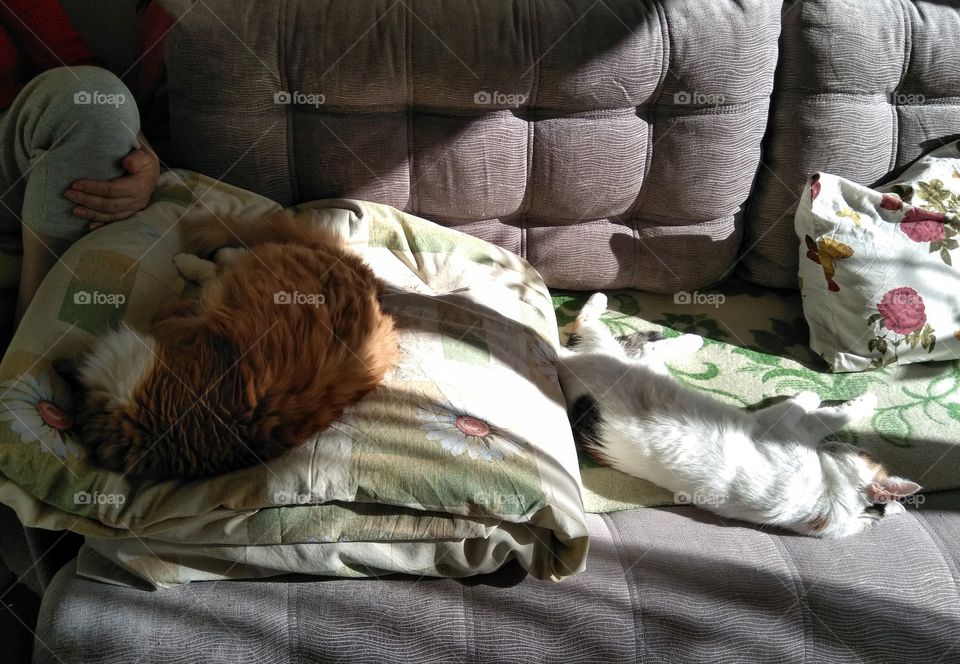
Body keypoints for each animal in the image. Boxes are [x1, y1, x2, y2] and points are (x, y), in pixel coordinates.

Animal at [560, 294, 920, 536]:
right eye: (856, 450)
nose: (837, 446)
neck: (830, 495)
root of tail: (563, 362)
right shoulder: (779, 422)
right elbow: (823, 414)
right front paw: (829, 397)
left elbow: (820, 415)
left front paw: (819, 397)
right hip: (611, 353)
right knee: (591, 326)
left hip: (626, 361)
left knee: (637, 346)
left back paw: (689, 339)